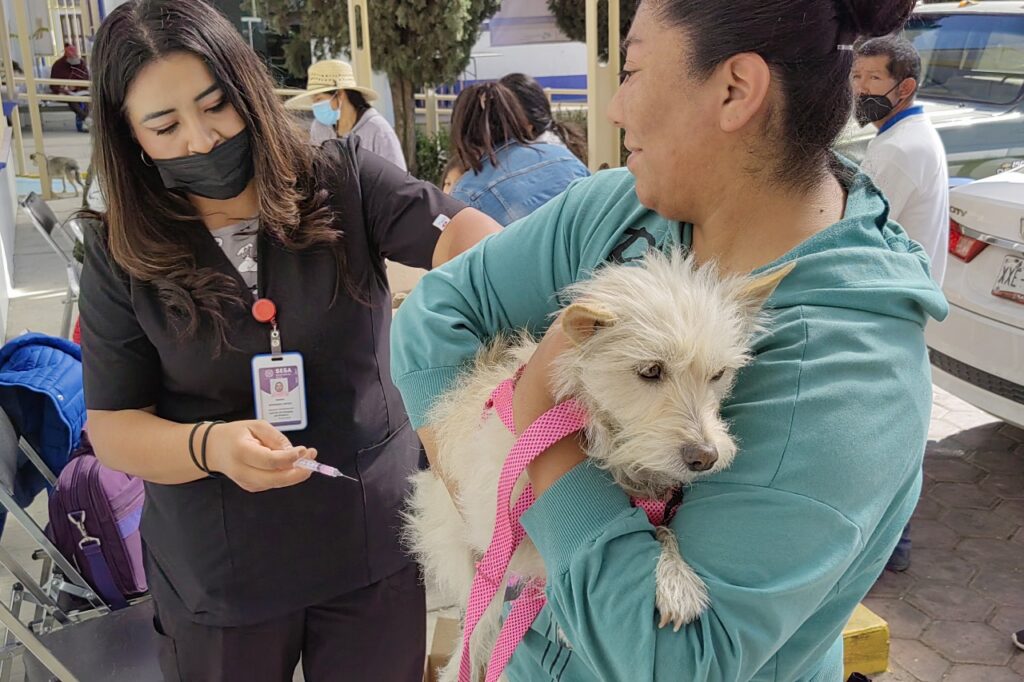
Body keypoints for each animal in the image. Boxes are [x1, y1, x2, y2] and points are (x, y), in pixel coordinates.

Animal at [404, 249, 795, 682]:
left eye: (718, 374)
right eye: (650, 370)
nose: (704, 457)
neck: (608, 434)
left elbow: (657, 527)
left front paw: (673, 577)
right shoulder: (498, 505)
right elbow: (540, 555)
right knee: (479, 625)